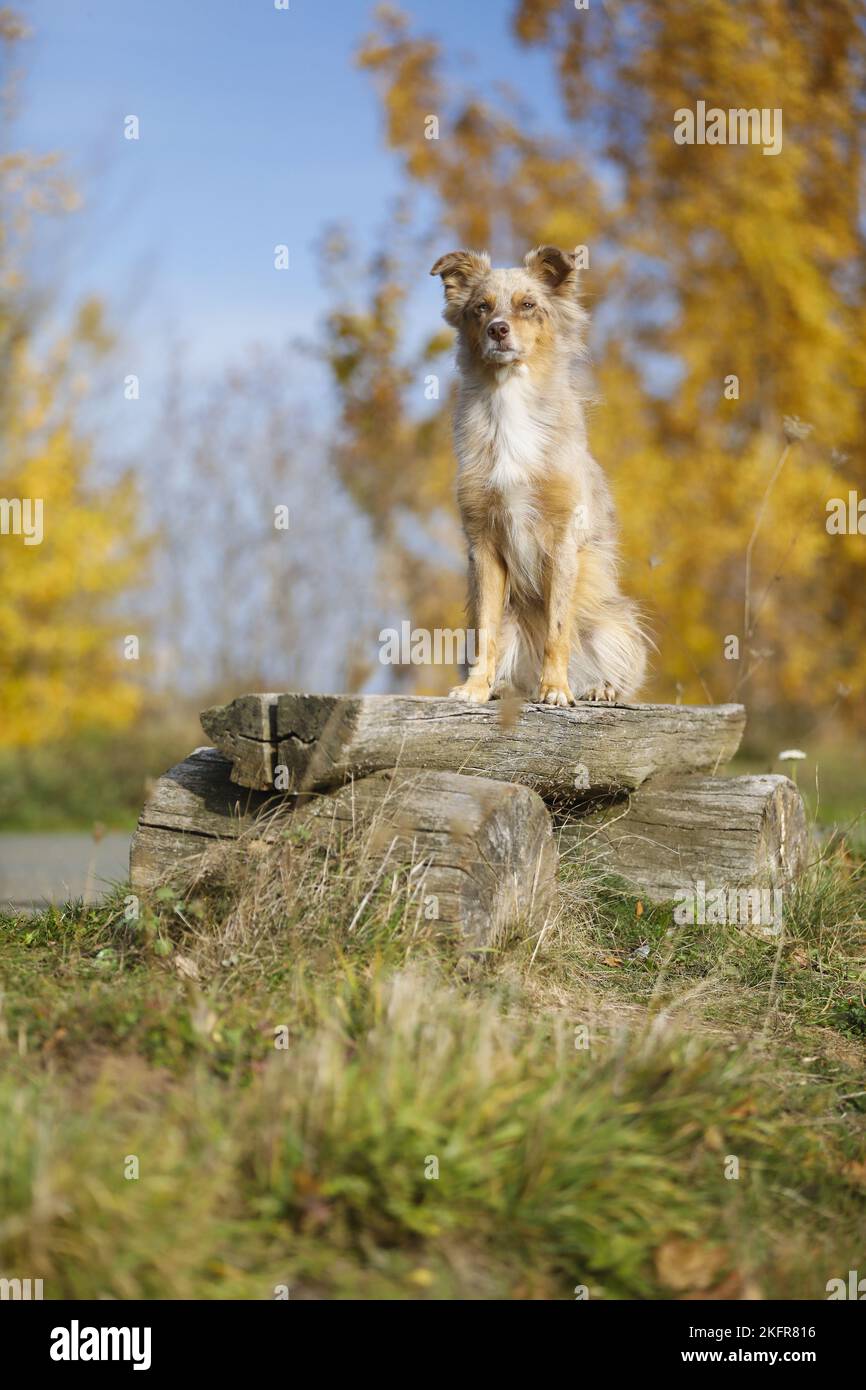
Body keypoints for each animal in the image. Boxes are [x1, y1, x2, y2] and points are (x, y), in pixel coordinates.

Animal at [430, 244, 647, 706]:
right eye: (480, 307)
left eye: (528, 305)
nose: (497, 330)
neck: (509, 395)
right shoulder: (483, 543)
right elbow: (486, 630)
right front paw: (476, 686)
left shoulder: (563, 538)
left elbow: (557, 628)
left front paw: (556, 689)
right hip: (512, 622)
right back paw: (505, 686)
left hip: (612, 623)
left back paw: (597, 688)